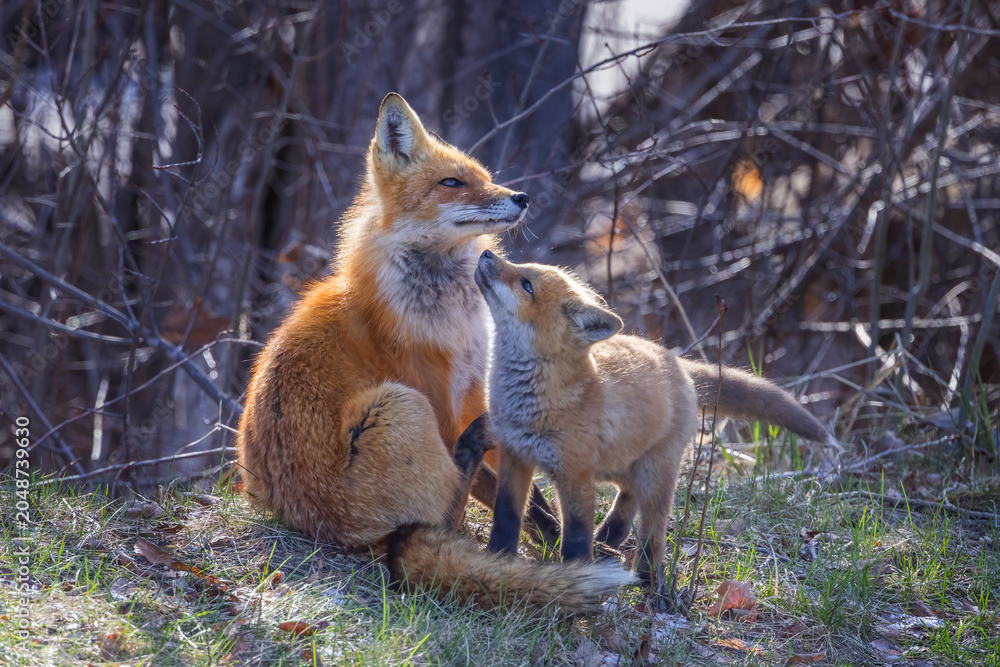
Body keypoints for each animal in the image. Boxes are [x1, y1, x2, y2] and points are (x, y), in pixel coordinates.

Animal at [235, 93, 632, 611]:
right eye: (452, 183)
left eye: (484, 177)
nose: (522, 197)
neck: (455, 318)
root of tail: (327, 529)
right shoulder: (440, 396)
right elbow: (490, 485)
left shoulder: (474, 386)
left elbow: (518, 490)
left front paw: (549, 531)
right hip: (397, 405)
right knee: (442, 514)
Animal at [474, 251, 839, 585]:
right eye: (520, 265)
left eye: (526, 284)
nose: (487, 253)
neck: (531, 403)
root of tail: (676, 361)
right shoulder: (516, 456)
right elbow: (506, 517)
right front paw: (497, 560)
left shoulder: (575, 475)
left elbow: (576, 539)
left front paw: (575, 585)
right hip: (619, 467)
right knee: (626, 504)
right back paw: (608, 542)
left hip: (654, 476)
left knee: (653, 530)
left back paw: (650, 581)